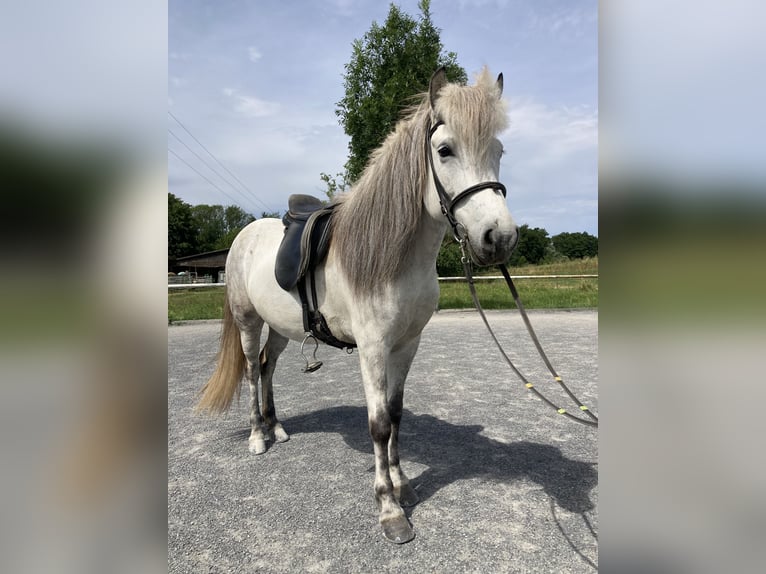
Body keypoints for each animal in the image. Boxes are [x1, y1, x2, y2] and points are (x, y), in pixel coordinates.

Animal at [197, 67, 519, 543]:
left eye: (497, 150)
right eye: (444, 150)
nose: (499, 238)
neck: (394, 256)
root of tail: (244, 234)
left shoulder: (407, 344)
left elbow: (397, 415)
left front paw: (404, 485)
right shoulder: (372, 348)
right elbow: (379, 423)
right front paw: (389, 509)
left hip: (281, 328)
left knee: (269, 368)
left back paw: (277, 428)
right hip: (248, 321)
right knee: (254, 372)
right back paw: (258, 436)